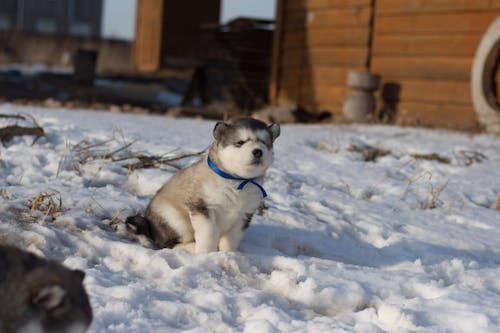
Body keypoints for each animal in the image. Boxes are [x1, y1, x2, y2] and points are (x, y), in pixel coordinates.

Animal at [127, 118, 280, 253]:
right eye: (240, 142)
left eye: (264, 143)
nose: (258, 151)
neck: (237, 180)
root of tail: (148, 224)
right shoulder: (203, 207)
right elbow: (209, 234)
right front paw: (207, 254)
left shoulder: (244, 215)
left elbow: (231, 239)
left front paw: (229, 254)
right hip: (175, 220)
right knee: (169, 244)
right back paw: (191, 248)